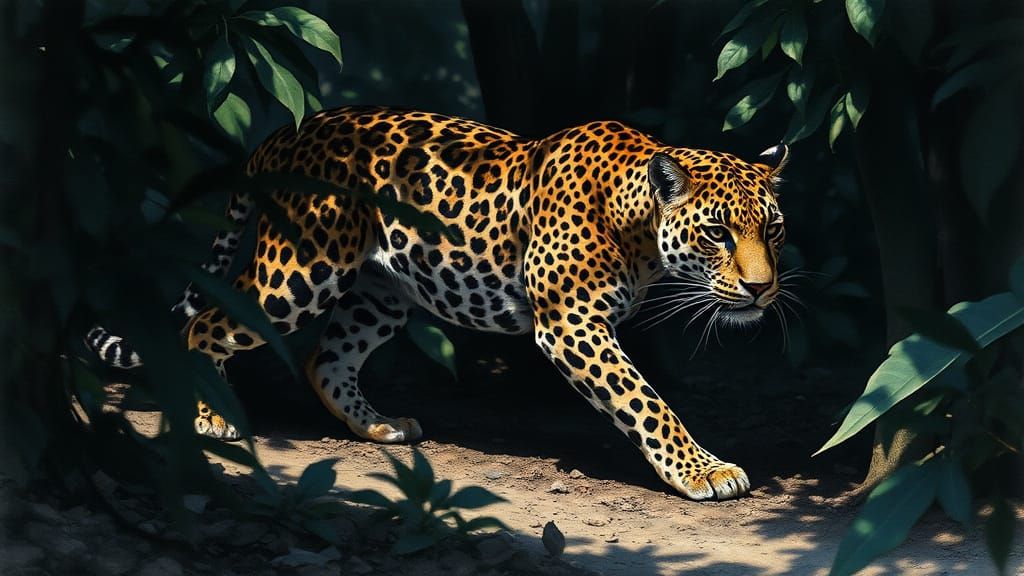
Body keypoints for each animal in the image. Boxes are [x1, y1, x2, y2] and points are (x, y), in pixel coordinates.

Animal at [87, 106, 789, 500]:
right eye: (717, 232)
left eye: (773, 229)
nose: (762, 289)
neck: (637, 222)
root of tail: (286, 133)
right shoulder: (572, 323)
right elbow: (647, 403)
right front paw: (703, 473)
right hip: (300, 269)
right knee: (207, 323)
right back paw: (210, 415)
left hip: (382, 293)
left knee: (326, 361)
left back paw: (381, 427)